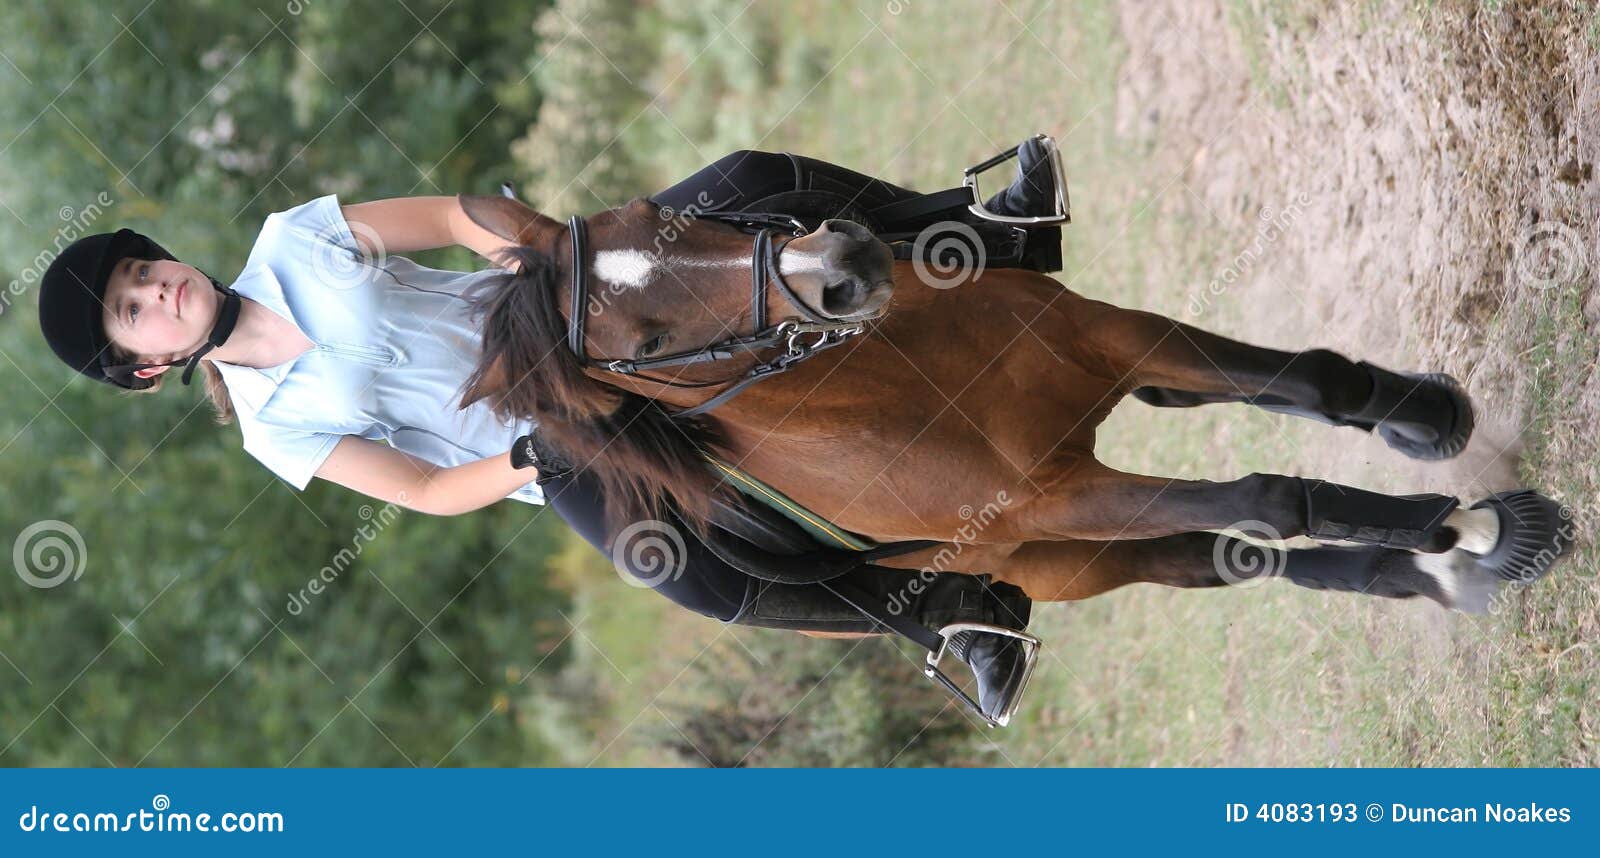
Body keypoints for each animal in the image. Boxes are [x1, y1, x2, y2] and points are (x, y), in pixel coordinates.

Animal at [454, 196, 1574, 611]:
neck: (906, 385)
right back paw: (1433, 565)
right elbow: (1270, 495)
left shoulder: (1111, 338)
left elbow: (1308, 379)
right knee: (1224, 550)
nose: (842, 269)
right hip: (1064, 555)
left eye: (665, 214)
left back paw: (1460, 562)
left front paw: (1428, 425)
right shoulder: (1056, 497)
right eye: (642, 347)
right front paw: (1444, 524)